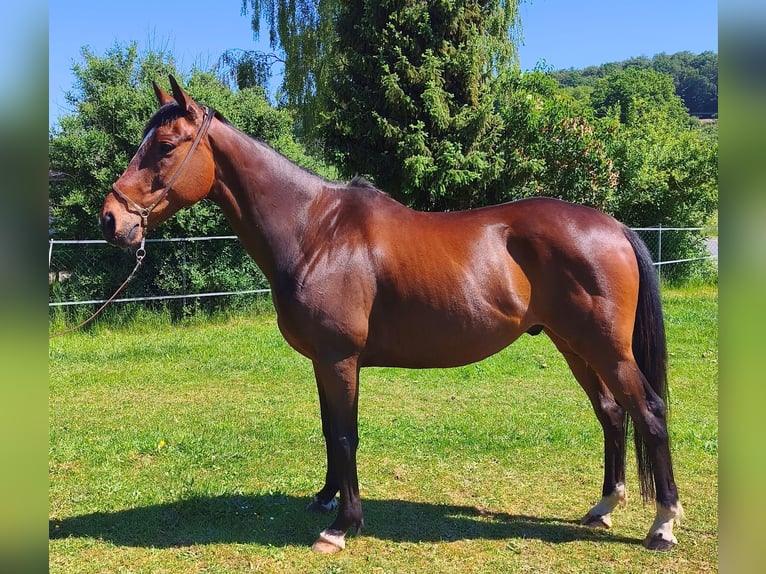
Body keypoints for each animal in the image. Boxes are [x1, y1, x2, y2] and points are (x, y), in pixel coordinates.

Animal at [100, 76, 683, 554]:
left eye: (165, 146)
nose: (111, 220)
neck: (317, 231)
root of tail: (613, 226)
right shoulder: (324, 361)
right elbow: (329, 429)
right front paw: (326, 497)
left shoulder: (340, 358)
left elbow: (345, 435)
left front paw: (342, 525)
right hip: (574, 345)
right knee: (611, 413)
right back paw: (603, 508)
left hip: (605, 348)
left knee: (649, 412)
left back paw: (663, 524)